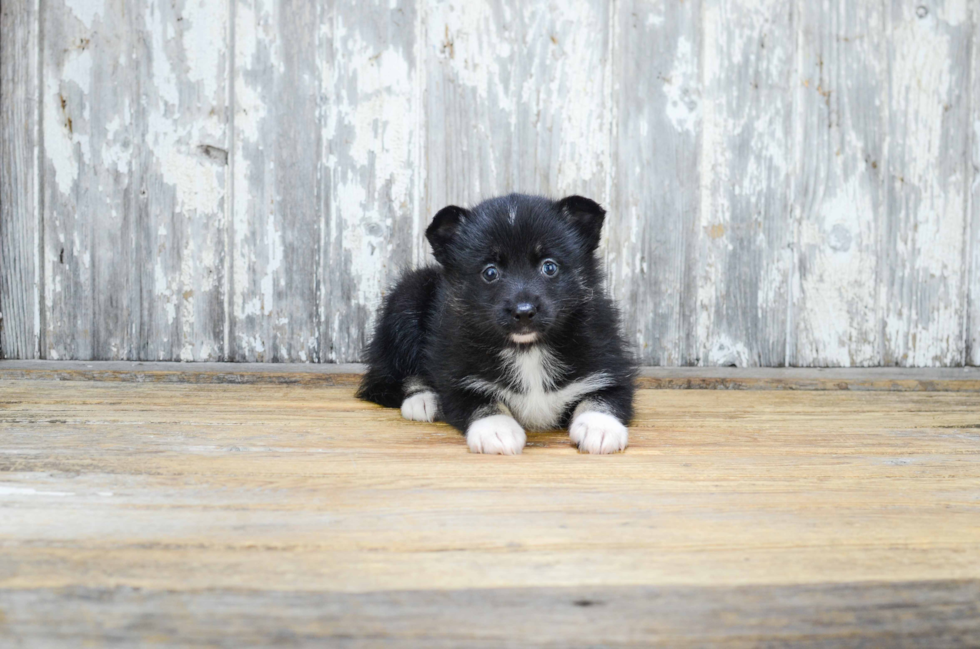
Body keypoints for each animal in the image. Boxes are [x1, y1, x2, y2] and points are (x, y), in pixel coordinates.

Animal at [356, 195, 640, 454]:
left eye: (549, 267)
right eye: (490, 272)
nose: (524, 312)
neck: (528, 350)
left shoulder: (610, 365)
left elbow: (603, 396)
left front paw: (599, 427)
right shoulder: (456, 378)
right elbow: (479, 401)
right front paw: (496, 429)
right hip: (407, 298)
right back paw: (423, 399)